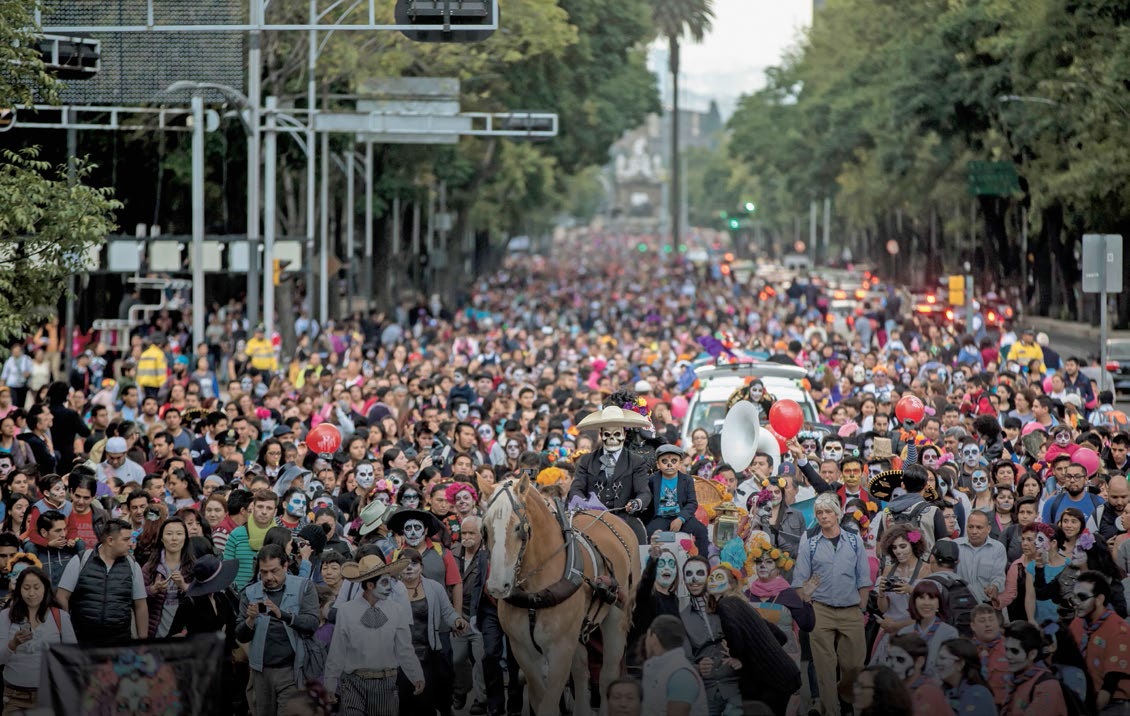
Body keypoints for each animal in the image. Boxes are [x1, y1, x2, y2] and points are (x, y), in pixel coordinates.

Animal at [481, 474, 641, 713]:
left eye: (519, 528)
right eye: (485, 528)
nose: (497, 586)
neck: (534, 595)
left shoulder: (560, 649)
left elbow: (548, 705)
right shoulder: (523, 650)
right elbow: (540, 699)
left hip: (616, 619)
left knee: (607, 676)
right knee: (582, 672)